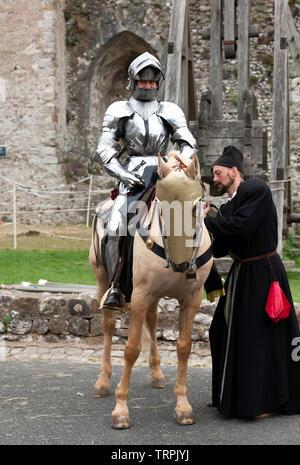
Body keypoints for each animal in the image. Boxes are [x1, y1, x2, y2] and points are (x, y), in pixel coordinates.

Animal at [89, 151, 213, 428]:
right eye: (163, 207)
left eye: (196, 205)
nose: (180, 264)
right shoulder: (140, 295)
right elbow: (131, 349)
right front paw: (121, 409)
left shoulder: (191, 299)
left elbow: (183, 347)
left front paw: (183, 406)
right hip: (103, 280)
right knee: (108, 326)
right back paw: (102, 382)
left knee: (152, 320)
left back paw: (156, 374)